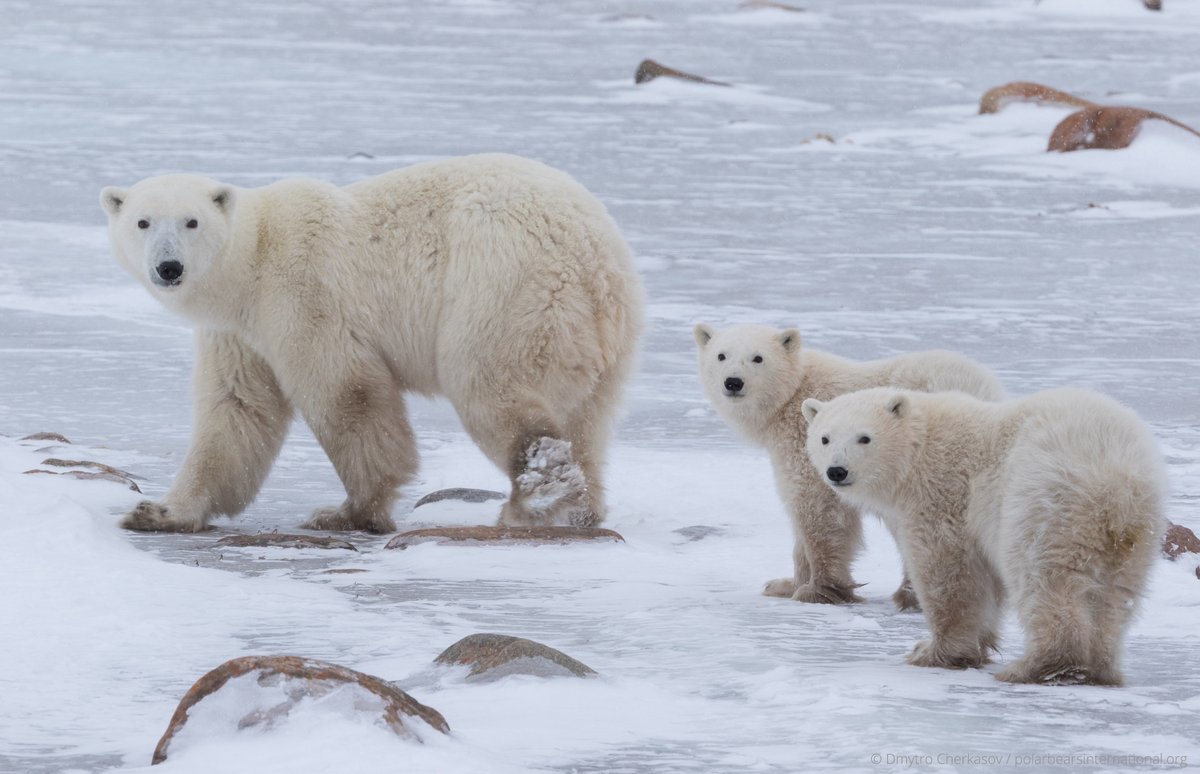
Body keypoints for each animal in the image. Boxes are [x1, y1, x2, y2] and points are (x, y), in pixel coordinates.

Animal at [100, 153, 644, 533]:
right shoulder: (239, 333)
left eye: (191, 221)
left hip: (505, 288)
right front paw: (158, 513)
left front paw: (347, 512)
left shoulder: (304, 295)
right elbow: (237, 411)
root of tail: (597, 262)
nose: (169, 267)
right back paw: (579, 511)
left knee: (491, 386)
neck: (252, 263)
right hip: (603, 342)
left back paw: (531, 503)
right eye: (143, 222)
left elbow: (348, 395)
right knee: (589, 422)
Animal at [694, 324, 1004, 607]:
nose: (733, 382)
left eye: (758, 358)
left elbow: (817, 508)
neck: (793, 395)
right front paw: (783, 584)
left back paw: (911, 594)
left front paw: (816, 591)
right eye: (721, 355)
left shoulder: (807, 443)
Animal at [802, 387, 1167, 686]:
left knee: (1043, 577)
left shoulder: (945, 497)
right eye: (824, 438)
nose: (837, 471)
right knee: (1116, 595)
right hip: (1137, 528)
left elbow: (949, 573)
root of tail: (1118, 476)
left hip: (1046, 500)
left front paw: (933, 651)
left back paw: (1038, 667)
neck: (919, 453)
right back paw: (1101, 668)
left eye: (864, 438)